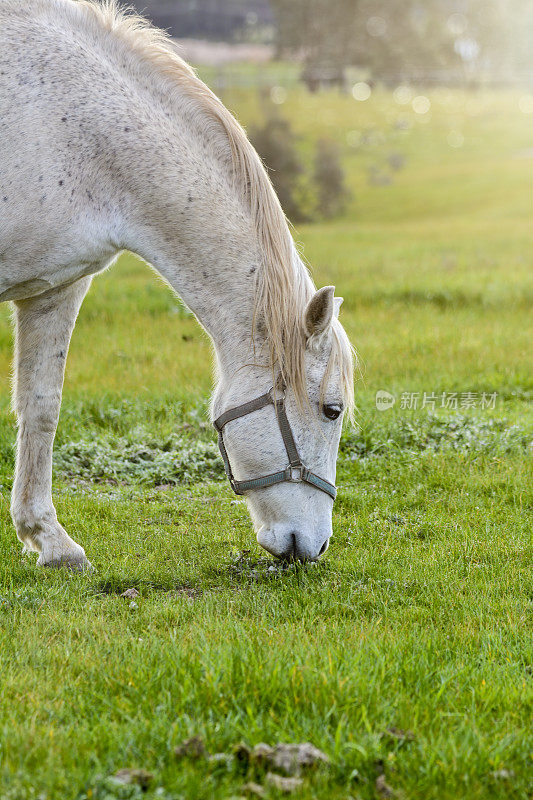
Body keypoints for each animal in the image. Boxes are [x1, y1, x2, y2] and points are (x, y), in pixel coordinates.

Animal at [2, 0, 356, 568]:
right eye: (332, 410)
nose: (315, 545)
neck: (67, 129)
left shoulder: (54, 289)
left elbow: (40, 406)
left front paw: (49, 540)